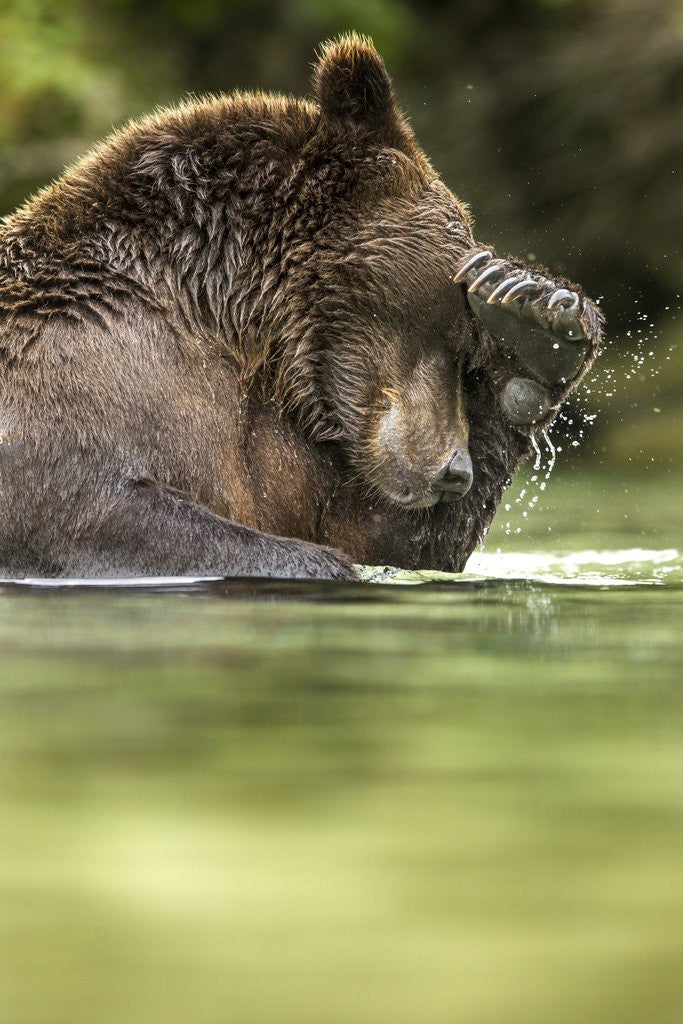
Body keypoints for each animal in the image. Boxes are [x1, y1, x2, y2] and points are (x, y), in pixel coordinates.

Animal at [0, 34, 602, 581]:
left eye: (472, 351)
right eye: (456, 334)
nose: (455, 471)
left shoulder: (299, 452)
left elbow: (386, 536)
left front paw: (537, 318)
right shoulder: (70, 372)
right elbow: (86, 507)